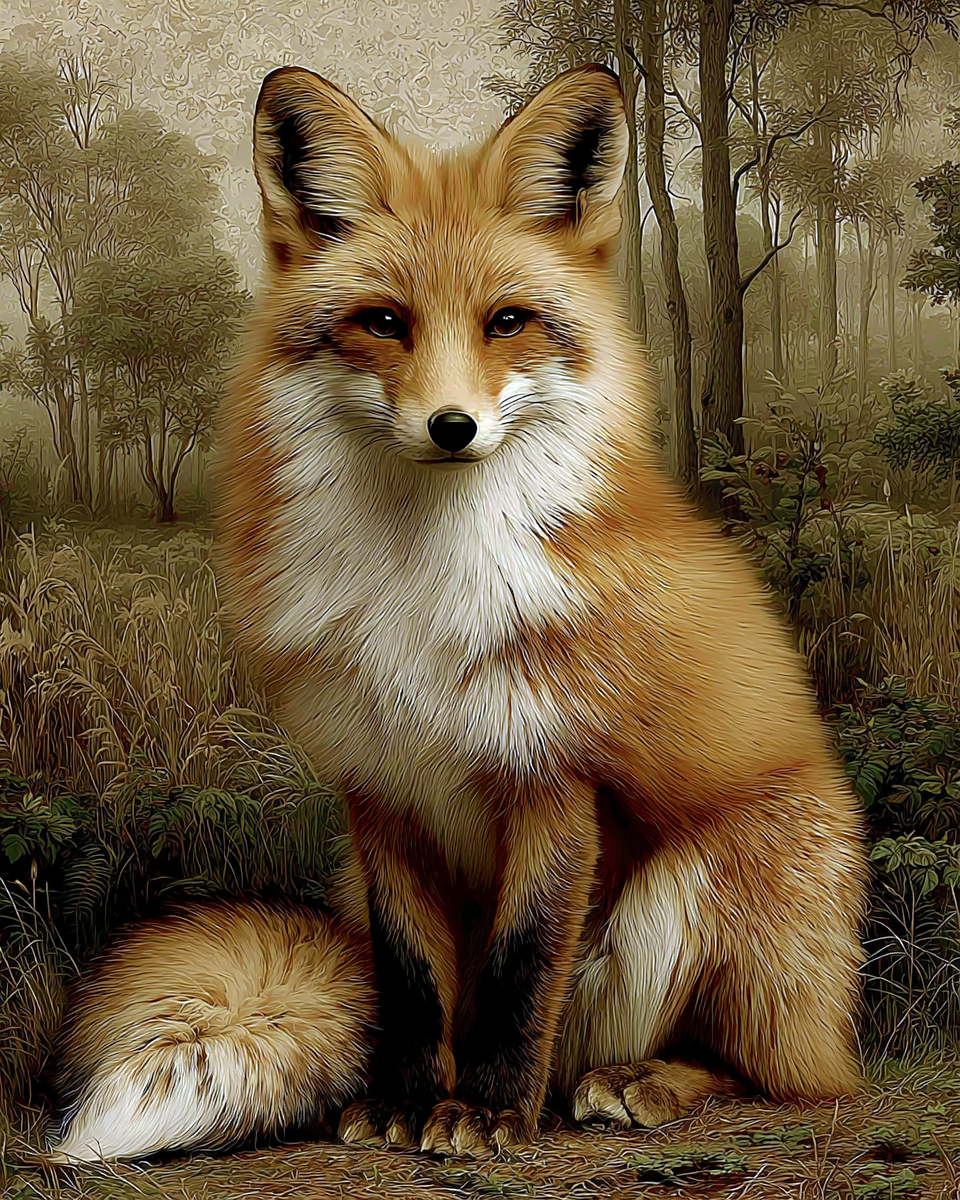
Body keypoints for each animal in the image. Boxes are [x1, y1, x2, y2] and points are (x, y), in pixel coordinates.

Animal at [47, 62, 867, 1165]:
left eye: (507, 322)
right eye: (385, 322)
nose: (451, 426)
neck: (422, 595)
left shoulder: (554, 775)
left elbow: (523, 967)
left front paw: (486, 1113)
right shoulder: (378, 788)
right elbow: (411, 977)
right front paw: (407, 1100)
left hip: (706, 879)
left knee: (774, 1076)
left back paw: (635, 1082)